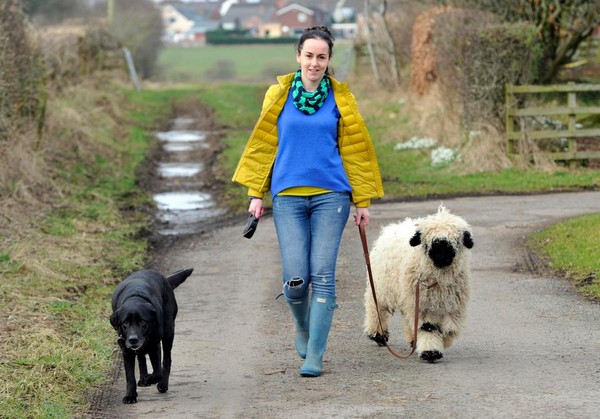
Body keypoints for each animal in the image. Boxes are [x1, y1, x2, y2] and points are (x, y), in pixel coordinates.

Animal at [364, 205, 476, 362]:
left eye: (456, 239)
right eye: (428, 240)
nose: (441, 252)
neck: (438, 280)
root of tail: (396, 226)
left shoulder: (453, 306)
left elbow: (450, 329)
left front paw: (444, 342)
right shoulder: (423, 306)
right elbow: (428, 327)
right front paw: (430, 352)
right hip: (381, 288)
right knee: (376, 309)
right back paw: (378, 335)